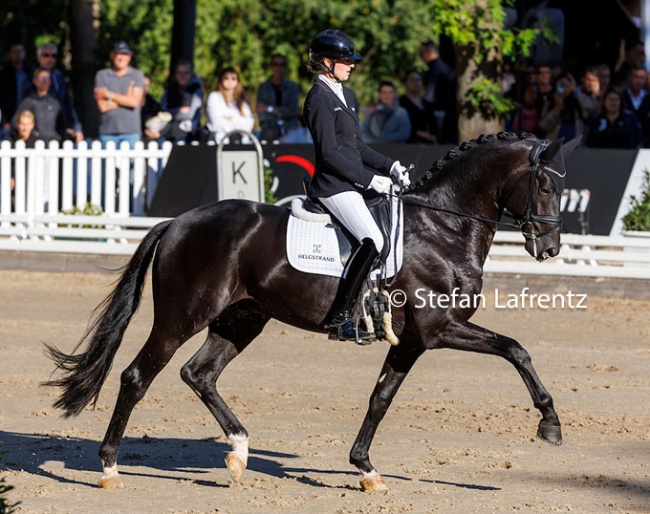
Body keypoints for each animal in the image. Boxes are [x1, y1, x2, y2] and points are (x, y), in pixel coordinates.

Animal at [44, 133, 576, 492]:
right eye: (546, 187)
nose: (549, 248)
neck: (442, 228)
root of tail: (177, 222)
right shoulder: (441, 329)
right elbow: (516, 349)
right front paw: (549, 423)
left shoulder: (412, 341)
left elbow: (380, 398)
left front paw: (366, 470)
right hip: (181, 318)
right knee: (137, 376)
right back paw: (110, 468)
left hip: (242, 319)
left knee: (199, 373)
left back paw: (239, 452)